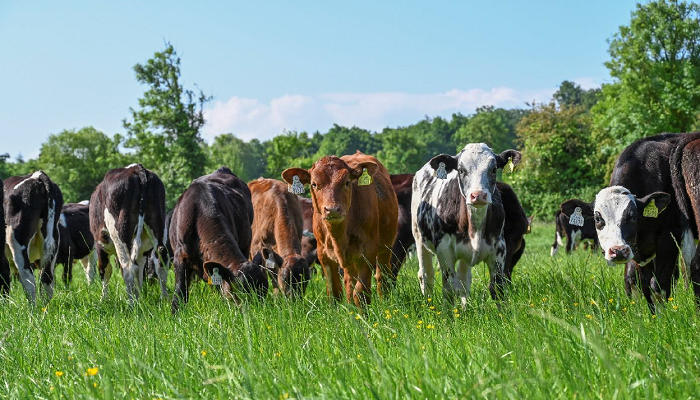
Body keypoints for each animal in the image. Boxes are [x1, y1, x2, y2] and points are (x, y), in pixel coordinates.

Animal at [89, 164, 168, 304]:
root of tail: (137, 167)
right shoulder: (142, 253)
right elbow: (140, 274)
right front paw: (140, 296)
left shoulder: (100, 246)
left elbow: (105, 270)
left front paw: (103, 299)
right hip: (158, 226)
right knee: (161, 261)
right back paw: (164, 299)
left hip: (120, 234)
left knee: (128, 268)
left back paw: (131, 305)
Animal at [282, 151, 398, 307]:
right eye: (314, 184)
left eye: (347, 182)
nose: (332, 209)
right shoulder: (323, 253)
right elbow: (334, 292)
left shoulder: (368, 249)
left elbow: (361, 291)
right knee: (350, 280)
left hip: (385, 246)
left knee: (383, 276)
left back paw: (385, 301)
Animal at [411, 143, 522, 305]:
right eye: (461, 170)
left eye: (493, 169)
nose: (478, 195)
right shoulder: (444, 249)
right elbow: (449, 289)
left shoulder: (499, 248)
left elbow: (497, 288)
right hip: (418, 237)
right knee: (426, 275)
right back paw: (428, 304)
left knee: (464, 281)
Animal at [561, 132, 700, 311]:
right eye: (598, 218)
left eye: (633, 216)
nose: (618, 251)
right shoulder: (642, 253)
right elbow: (645, 284)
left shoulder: (669, 236)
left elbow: (659, 285)